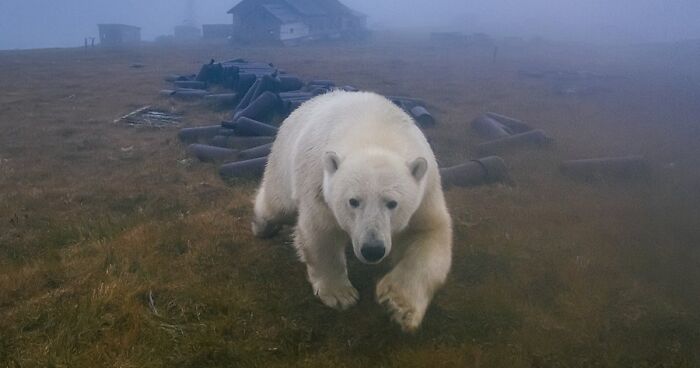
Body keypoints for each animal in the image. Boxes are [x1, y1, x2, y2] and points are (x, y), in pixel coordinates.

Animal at [252, 90, 454, 330]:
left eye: (392, 203)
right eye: (353, 201)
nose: (372, 249)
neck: (376, 134)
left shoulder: (426, 190)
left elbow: (429, 234)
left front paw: (398, 304)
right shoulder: (319, 180)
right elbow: (322, 233)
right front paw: (340, 295)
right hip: (284, 158)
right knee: (277, 203)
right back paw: (262, 225)